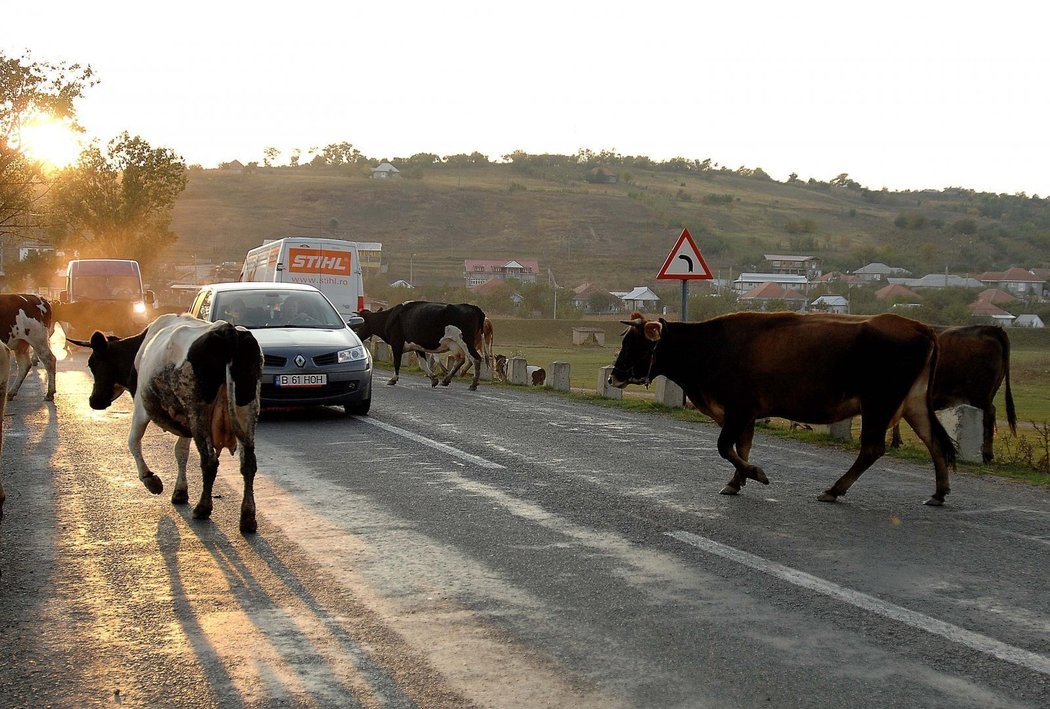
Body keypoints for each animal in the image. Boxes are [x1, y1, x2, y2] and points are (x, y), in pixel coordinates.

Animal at [70, 315, 264, 533]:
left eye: (92, 364)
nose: (94, 401)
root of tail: (227, 330)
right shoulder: (184, 422)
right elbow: (181, 452)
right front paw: (180, 491)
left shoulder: (141, 407)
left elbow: (133, 441)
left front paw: (151, 480)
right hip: (246, 407)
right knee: (248, 463)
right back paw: (247, 517)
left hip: (197, 410)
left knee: (209, 461)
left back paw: (203, 508)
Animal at [350, 300, 485, 390]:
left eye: (359, 323)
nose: (355, 335)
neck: (389, 318)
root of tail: (473, 307)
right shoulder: (417, 346)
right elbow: (423, 364)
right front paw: (434, 379)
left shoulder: (396, 343)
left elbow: (396, 362)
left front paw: (393, 379)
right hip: (454, 344)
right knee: (460, 360)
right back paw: (446, 380)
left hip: (466, 341)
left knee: (476, 358)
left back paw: (473, 384)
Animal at [609, 313, 961, 508]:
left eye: (633, 344)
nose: (614, 376)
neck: (710, 348)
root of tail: (920, 327)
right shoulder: (746, 413)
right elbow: (741, 447)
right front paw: (737, 481)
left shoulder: (738, 408)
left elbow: (725, 447)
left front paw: (755, 474)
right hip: (912, 402)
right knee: (934, 442)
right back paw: (939, 492)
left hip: (879, 403)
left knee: (873, 449)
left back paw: (834, 490)